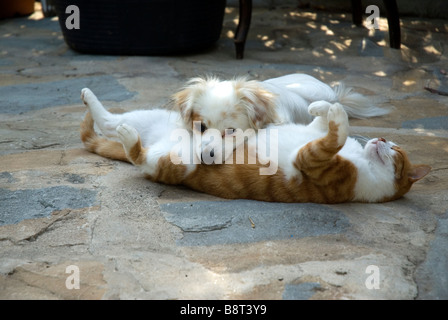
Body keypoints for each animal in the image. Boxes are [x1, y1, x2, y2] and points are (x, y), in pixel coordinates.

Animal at [79, 87, 430, 202]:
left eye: (396, 153)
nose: (381, 139)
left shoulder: (314, 161)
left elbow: (335, 135)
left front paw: (337, 115)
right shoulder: (313, 138)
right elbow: (324, 122)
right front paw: (325, 107)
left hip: (172, 161)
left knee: (136, 154)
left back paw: (126, 135)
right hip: (155, 118)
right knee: (109, 121)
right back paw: (90, 100)